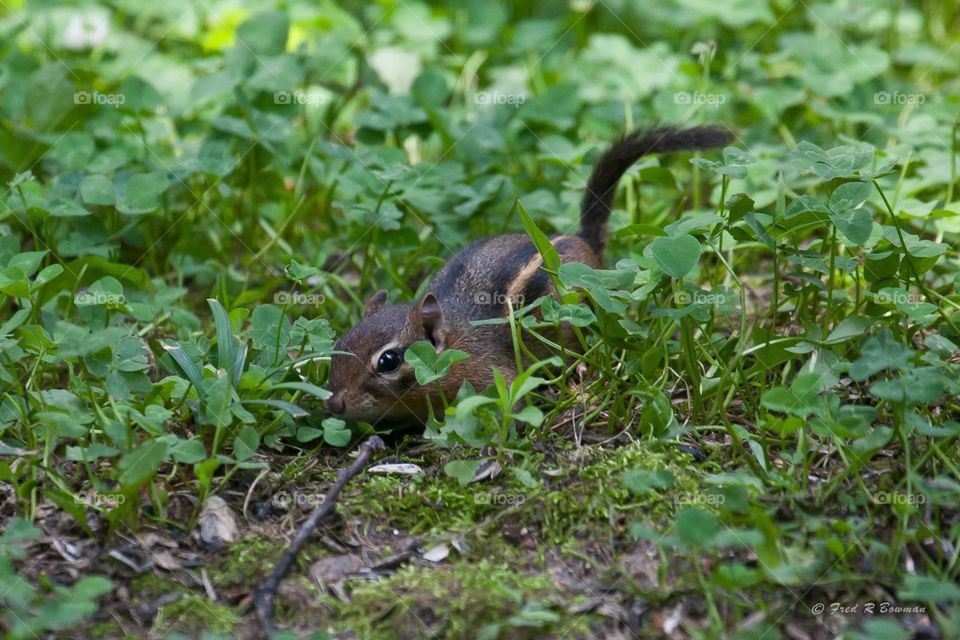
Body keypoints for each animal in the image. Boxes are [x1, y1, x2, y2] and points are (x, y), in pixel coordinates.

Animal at [324, 125, 734, 424]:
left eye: (388, 361)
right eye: (339, 343)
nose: (334, 404)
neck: (457, 344)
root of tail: (583, 241)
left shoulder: (494, 378)